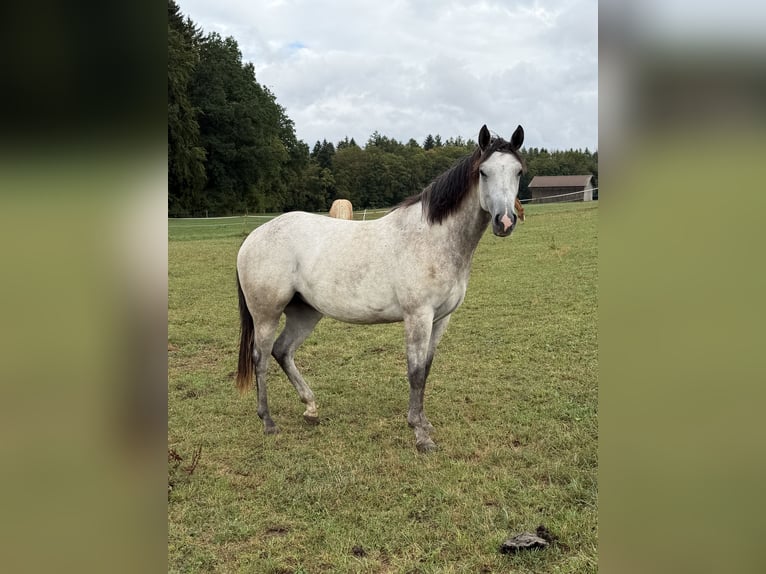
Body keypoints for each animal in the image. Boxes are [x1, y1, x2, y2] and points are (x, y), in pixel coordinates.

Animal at [236, 124, 526, 452]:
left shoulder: (441, 318)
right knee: (260, 358)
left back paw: (310, 408)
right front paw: (420, 435)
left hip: (305, 312)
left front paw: (424, 422)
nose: (505, 221)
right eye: (483, 172)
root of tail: (253, 238)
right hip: (266, 314)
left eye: (518, 171)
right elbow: (415, 373)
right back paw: (268, 422)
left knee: (282, 351)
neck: (432, 237)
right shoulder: (418, 316)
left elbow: (426, 369)